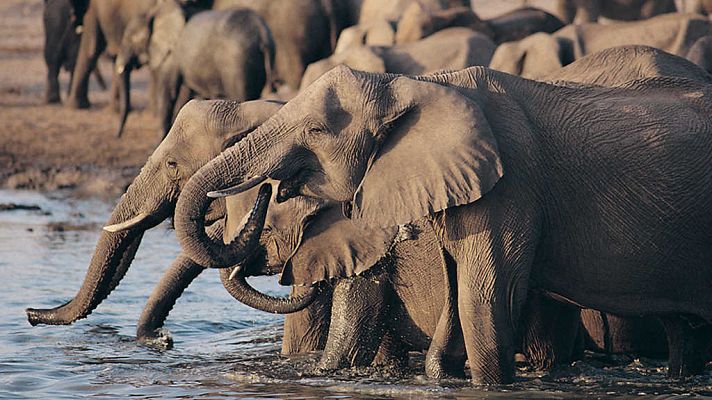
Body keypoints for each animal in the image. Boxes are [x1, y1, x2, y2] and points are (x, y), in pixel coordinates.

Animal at [115, 1, 275, 138]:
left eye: (129, 38)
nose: (118, 135)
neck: (157, 11)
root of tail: (262, 32)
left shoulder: (173, 55)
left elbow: (169, 92)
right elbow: (185, 94)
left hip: (237, 62)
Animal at [174, 63, 712, 384]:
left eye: (317, 129)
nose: (271, 187)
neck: (419, 83)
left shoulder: (511, 185)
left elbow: (484, 300)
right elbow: (458, 299)